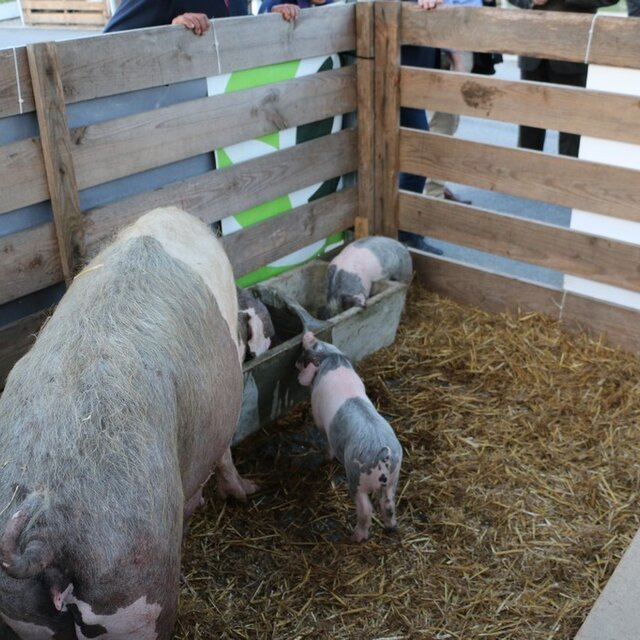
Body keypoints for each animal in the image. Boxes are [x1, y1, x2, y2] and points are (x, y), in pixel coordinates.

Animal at [296, 332, 402, 542]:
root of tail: (383, 454)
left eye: (314, 344)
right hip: (393, 479)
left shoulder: (319, 419)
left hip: (356, 478)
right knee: (388, 505)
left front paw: (327, 459)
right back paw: (391, 528)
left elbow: (326, 440)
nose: (308, 333)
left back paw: (356, 537)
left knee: (366, 509)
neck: (333, 359)